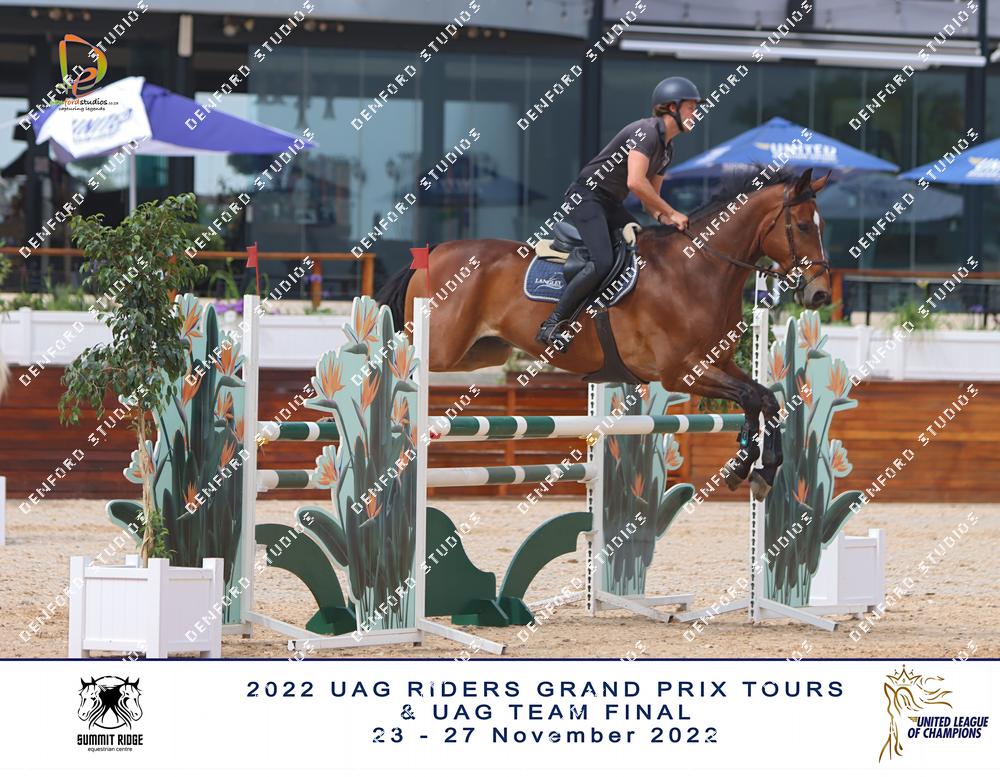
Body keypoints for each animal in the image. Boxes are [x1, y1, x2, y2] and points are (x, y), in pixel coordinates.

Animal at [377, 167, 832, 499]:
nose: (821, 293)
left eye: (820, 226)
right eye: (803, 226)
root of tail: (433, 252)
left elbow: (764, 398)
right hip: (442, 347)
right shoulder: (682, 373)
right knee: (402, 359)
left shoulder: (715, 364)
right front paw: (750, 465)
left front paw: (757, 468)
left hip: (483, 351)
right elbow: (755, 397)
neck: (699, 269)